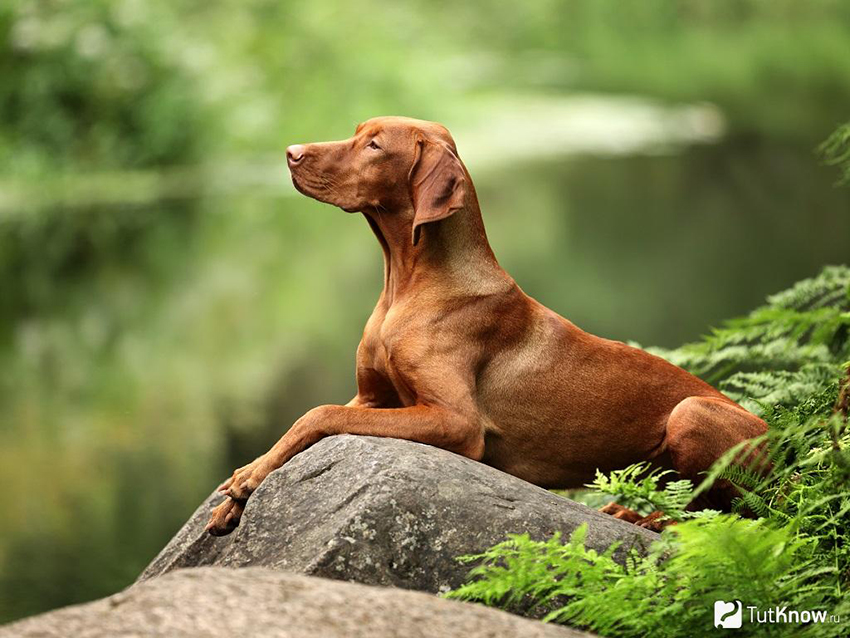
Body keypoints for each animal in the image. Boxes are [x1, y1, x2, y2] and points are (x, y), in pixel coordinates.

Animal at [205, 117, 768, 536]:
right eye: (358, 131)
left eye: (374, 145)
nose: (291, 152)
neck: (404, 286)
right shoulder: (372, 398)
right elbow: (305, 421)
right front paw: (243, 485)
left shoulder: (455, 421)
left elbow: (317, 412)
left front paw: (246, 478)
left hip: (691, 413)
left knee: (728, 513)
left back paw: (648, 519)